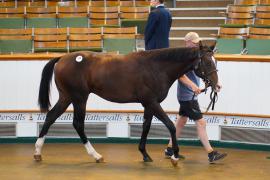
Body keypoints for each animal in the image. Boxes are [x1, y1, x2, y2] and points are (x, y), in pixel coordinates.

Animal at [33, 43, 219, 166]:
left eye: (215, 61)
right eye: (207, 62)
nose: (217, 85)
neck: (156, 67)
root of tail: (62, 58)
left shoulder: (149, 105)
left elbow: (146, 127)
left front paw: (145, 154)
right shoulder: (151, 102)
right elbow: (171, 126)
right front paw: (174, 156)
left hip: (66, 97)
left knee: (50, 117)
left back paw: (37, 152)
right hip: (79, 98)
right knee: (78, 124)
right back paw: (96, 155)